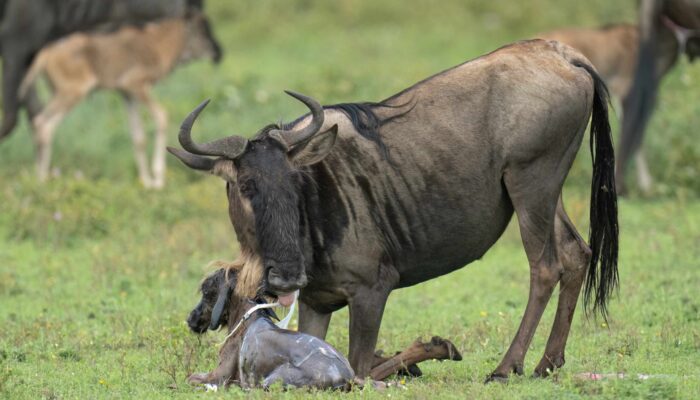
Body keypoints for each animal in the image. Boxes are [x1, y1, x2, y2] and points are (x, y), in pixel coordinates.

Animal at [19, 12, 221, 188]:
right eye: (202, 31)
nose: (217, 53)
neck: (158, 43)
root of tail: (45, 52)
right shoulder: (136, 86)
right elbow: (162, 116)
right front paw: (158, 180)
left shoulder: (127, 94)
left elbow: (138, 136)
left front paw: (146, 181)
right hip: (72, 92)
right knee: (43, 123)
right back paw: (42, 180)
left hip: (60, 93)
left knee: (40, 123)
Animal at [187, 268, 356, 390]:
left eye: (206, 292)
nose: (190, 319)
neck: (248, 316)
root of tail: (347, 377)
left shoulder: (219, 376)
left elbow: (191, 378)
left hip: (272, 380)